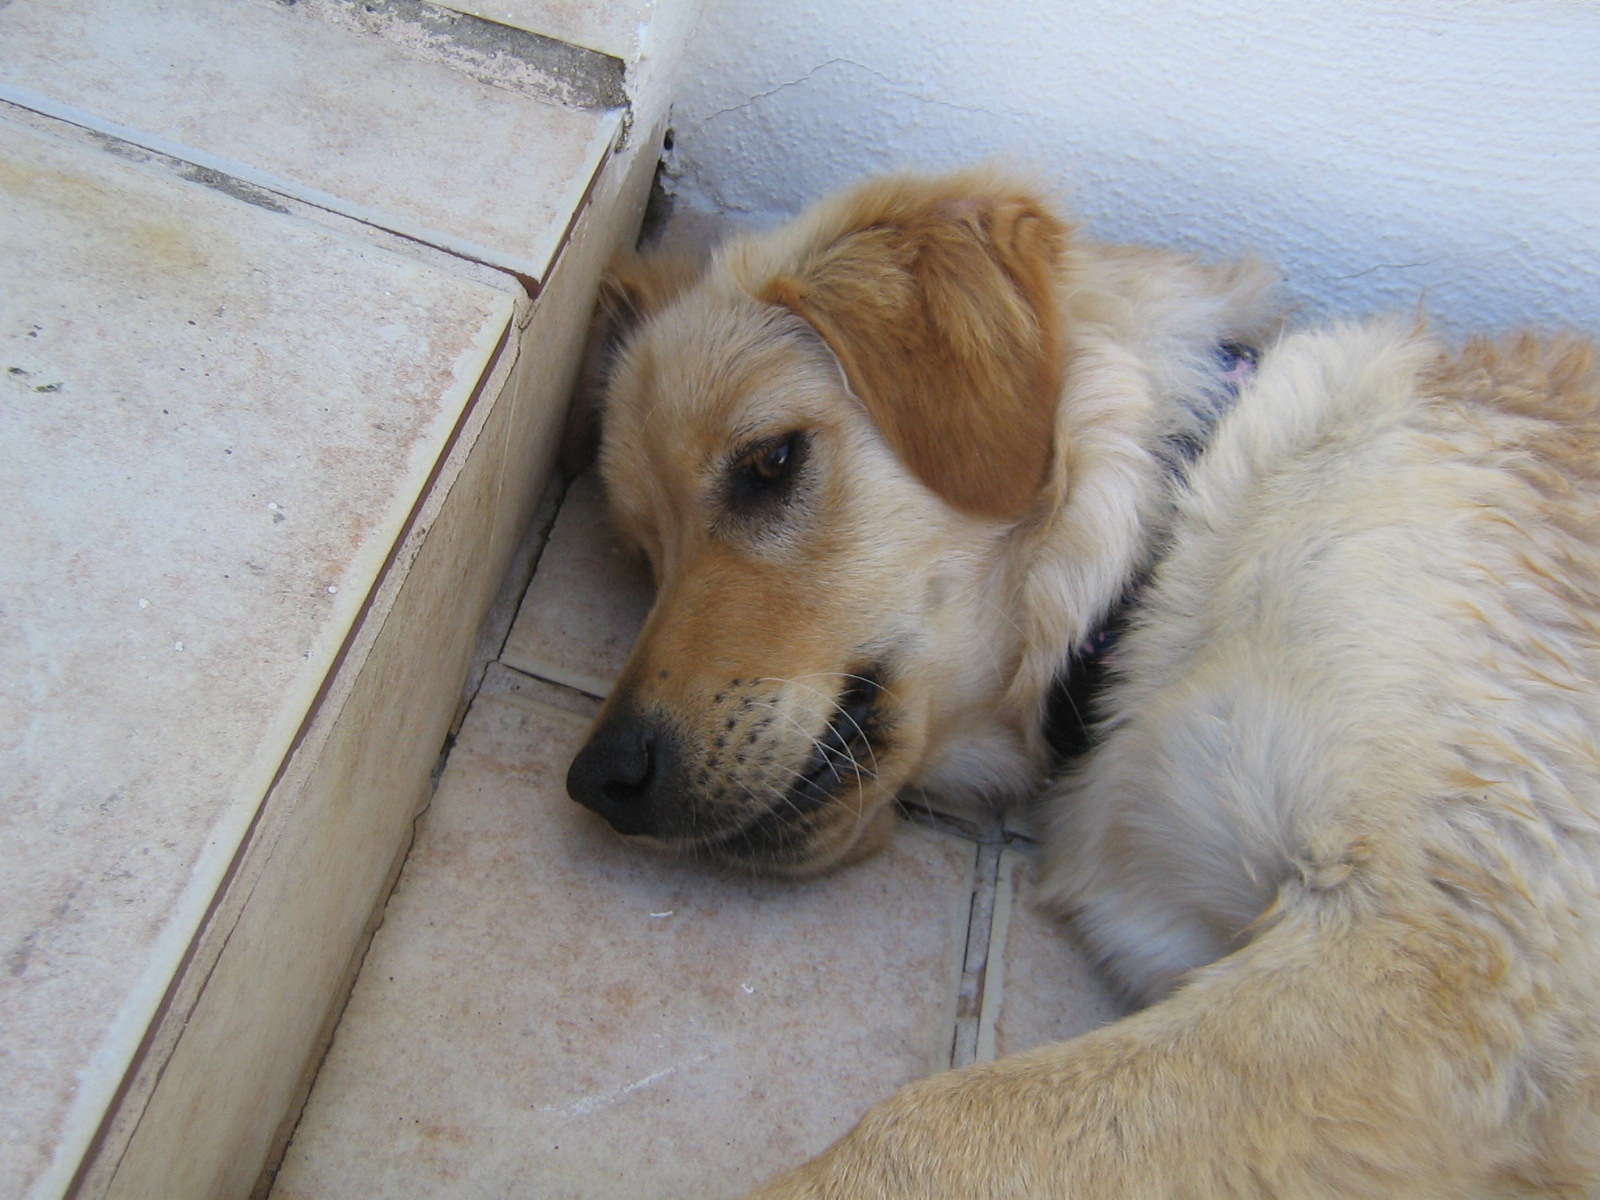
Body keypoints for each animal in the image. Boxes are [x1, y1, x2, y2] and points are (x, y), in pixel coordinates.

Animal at [565, 170, 1600, 1198]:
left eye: (771, 461)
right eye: (643, 558)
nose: (602, 779)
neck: (1170, 559)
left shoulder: (1448, 944)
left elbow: (930, 1124)